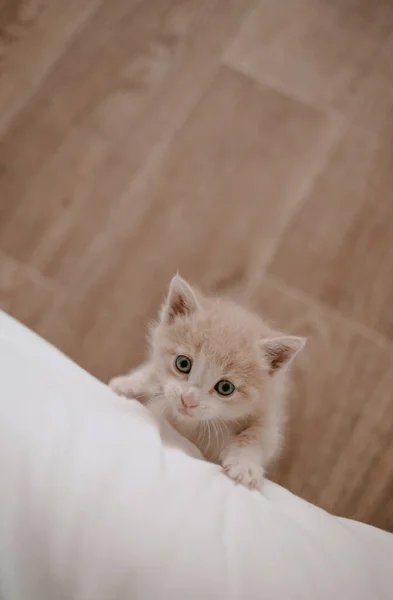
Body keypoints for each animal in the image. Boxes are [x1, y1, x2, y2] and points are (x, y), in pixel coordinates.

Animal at [108, 276, 304, 488]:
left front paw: (244, 464)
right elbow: (154, 371)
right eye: (183, 363)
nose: (188, 400)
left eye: (225, 388)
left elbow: (261, 435)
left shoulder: (267, 410)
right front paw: (129, 383)